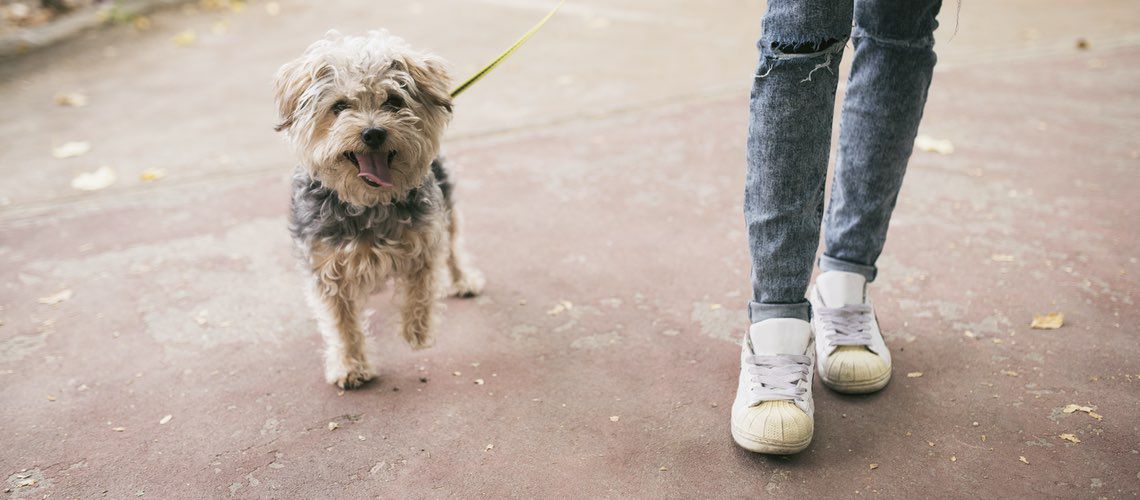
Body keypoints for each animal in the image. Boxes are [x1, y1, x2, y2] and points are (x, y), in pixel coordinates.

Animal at [273, 31, 483, 389]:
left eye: (394, 101)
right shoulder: (327, 269)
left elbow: (421, 287)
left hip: (448, 206)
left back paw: (463, 279)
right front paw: (350, 365)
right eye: (339, 106)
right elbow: (341, 322)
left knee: (454, 246)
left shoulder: (425, 239)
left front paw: (417, 332)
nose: (373, 132)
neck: (368, 205)